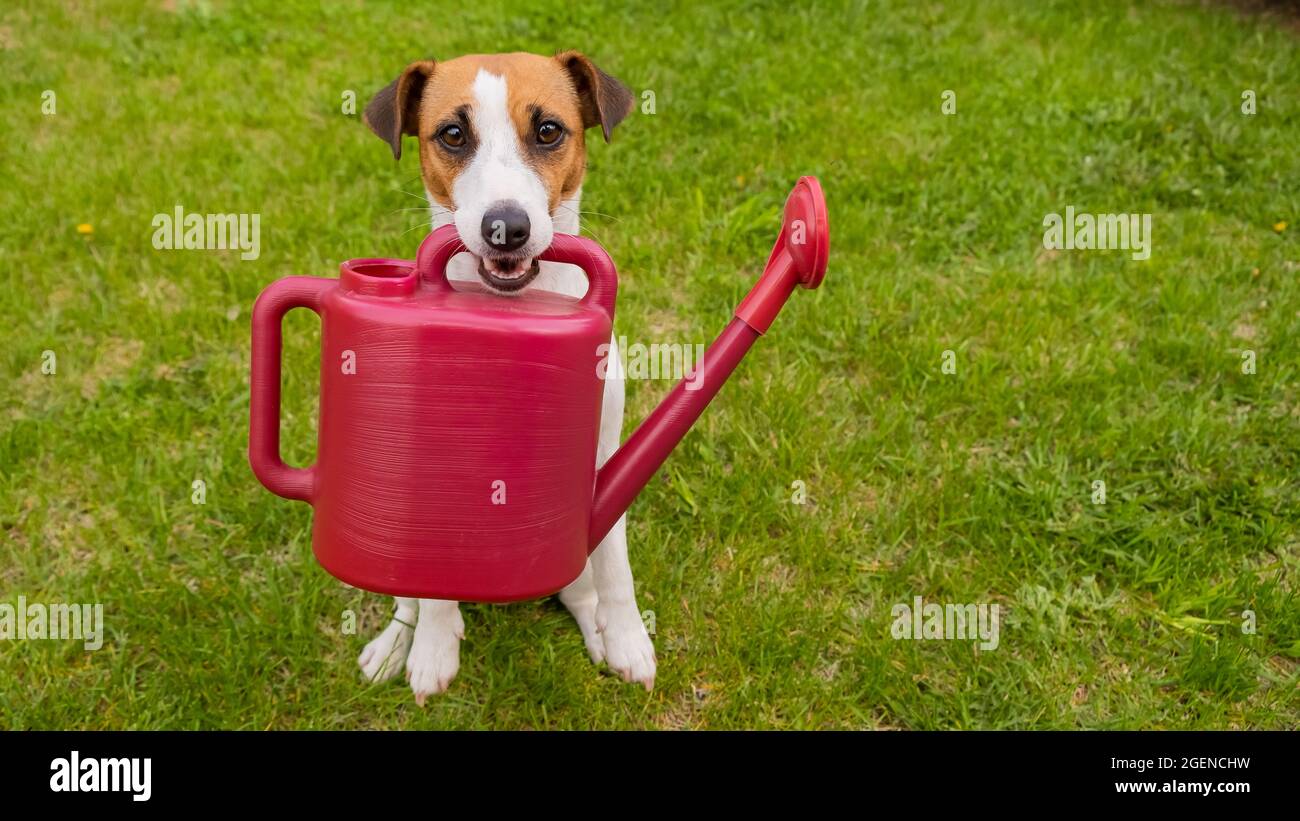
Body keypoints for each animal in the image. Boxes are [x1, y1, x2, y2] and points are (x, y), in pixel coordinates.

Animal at [353, 52, 650, 706]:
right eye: (452, 134)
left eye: (549, 131)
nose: (505, 227)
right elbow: (429, 588)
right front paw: (431, 648)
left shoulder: (602, 452)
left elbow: (615, 561)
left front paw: (626, 636)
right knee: (406, 593)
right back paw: (397, 640)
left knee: (580, 585)